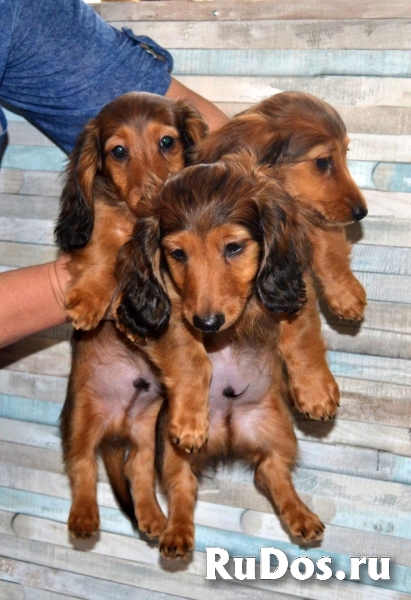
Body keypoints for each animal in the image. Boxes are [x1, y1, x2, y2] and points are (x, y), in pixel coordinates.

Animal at [56, 92, 208, 540]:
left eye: (167, 142)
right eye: (118, 151)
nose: (152, 199)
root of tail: (115, 428)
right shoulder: (104, 224)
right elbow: (105, 246)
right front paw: (90, 298)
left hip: (145, 431)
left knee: (136, 469)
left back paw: (154, 518)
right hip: (81, 419)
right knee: (82, 466)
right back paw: (84, 516)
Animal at [115, 154, 326, 556]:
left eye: (234, 247)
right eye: (177, 254)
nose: (208, 322)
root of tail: (229, 438)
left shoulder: (293, 287)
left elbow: (300, 335)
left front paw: (315, 393)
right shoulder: (174, 309)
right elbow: (192, 356)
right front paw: (190, 421)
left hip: (278, 432)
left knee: (271, 472)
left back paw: (301, 516)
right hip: (171, 452)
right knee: (183, 487)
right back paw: (176, 534)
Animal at [192, 92, 368, 422]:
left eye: (345, 154)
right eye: (323, 161)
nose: (362, 212)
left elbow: (327, 245)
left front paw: (345, 293)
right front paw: (316, 390)